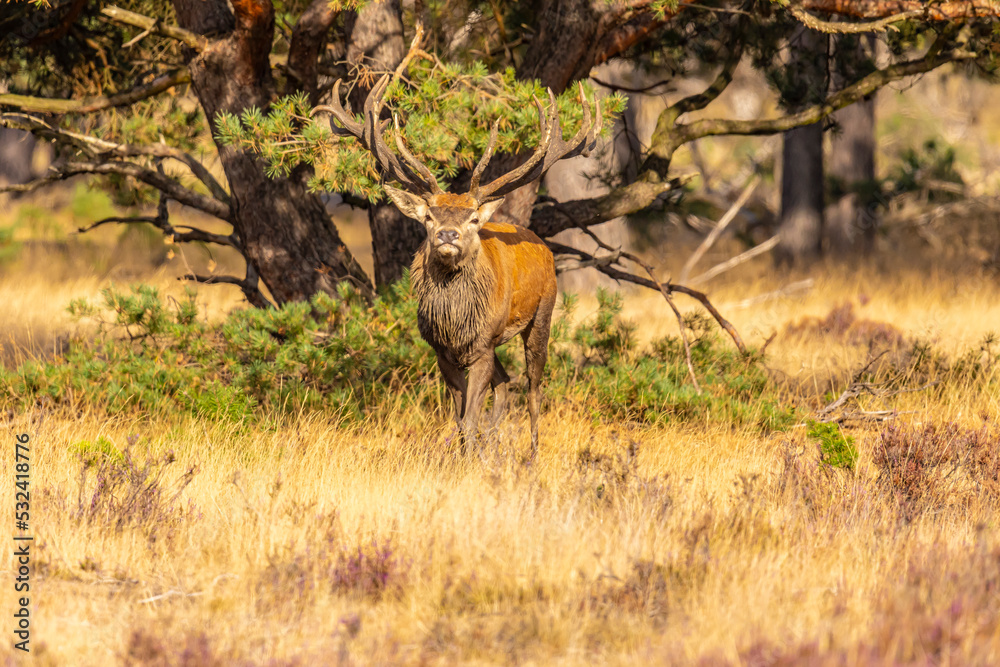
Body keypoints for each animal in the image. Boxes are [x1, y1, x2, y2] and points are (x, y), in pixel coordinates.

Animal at [316, 74, 601, 459]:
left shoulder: (482, 345)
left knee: (533, 387)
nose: (447, 234)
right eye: (429, 216)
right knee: (504, 382)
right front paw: (467, 455)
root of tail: (541, 243)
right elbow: (460, 415)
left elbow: (469, 416)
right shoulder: (444, 351)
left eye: (472, 218)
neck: (455, 323)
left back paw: (531, 454)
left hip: (543, 312)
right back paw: (492, 444)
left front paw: (470, 459)